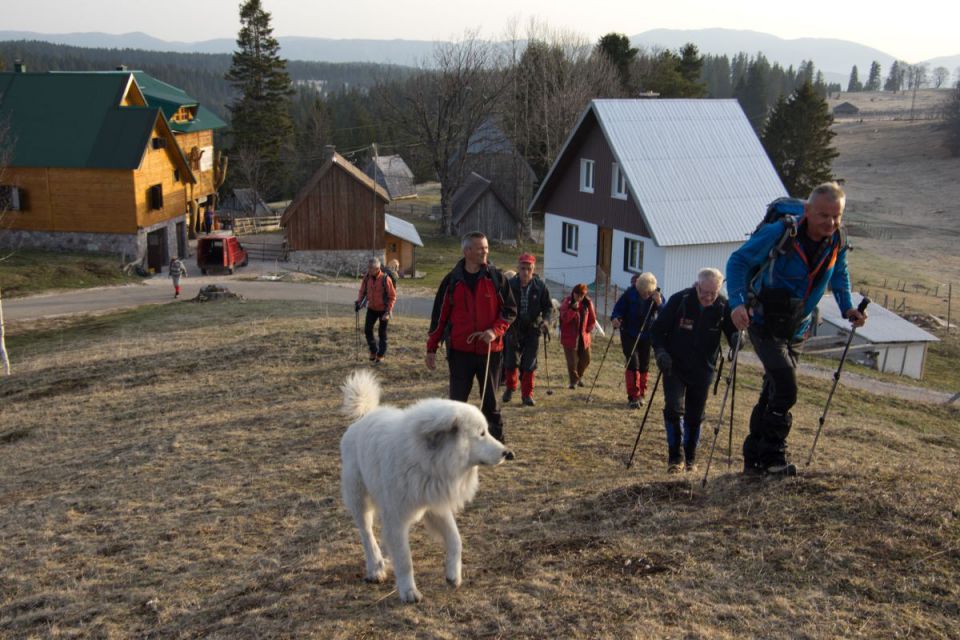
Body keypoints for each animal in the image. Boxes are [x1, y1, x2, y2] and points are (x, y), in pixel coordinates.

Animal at [340, 368, 512, 604]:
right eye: (482, 433)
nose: (507, 453)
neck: (426, 462)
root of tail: (366, 417)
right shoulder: (397, 519)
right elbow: (405, 559)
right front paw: (409, 591)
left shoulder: (436, 506)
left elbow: (456, 540)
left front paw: (453, 575)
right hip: (360, 501)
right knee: (367, 536)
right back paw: (375, 568)